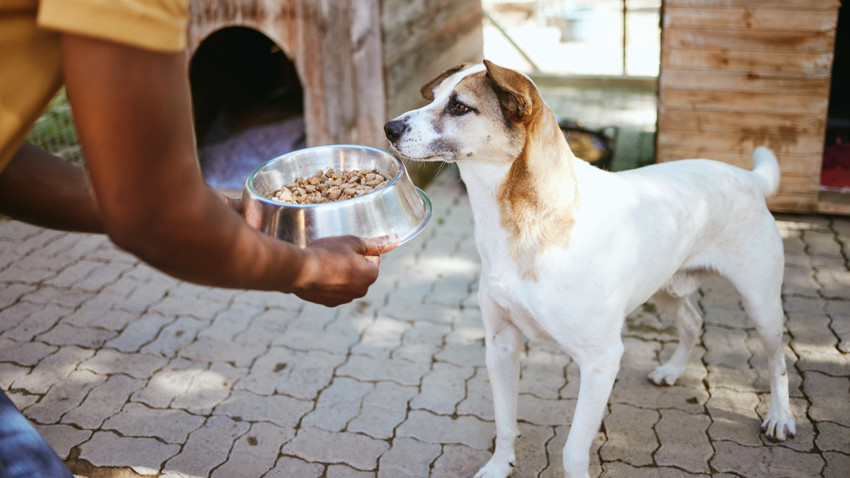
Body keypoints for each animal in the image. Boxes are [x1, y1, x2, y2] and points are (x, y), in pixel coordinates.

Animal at [384, 59, 796, 478]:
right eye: (434, 97)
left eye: (460, 107)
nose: (390, 127)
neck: (527, 224)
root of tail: (746, 176)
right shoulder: (500, 344)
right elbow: (504, 422)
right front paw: (500, 465)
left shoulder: (602, 361)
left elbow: (572, 451)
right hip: (664, 288)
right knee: (692, 321)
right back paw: (672, 370)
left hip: (761, 304)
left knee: (778, 360)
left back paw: (780, 417)